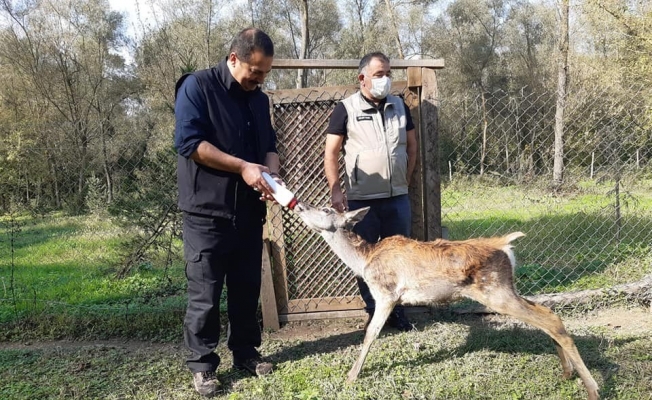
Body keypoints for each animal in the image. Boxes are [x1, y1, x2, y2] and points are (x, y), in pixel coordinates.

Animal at [292, 202, 599, 400]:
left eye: (326, 209)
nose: (299, 206)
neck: (364, 260)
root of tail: (505, 244)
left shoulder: (386, 293)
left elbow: (370, 334)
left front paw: (351, 377)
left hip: (495, 292)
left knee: (550, 319)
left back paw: (593, 389)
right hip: (505, 289)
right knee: (548, 313)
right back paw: (567, 374)